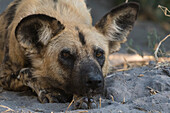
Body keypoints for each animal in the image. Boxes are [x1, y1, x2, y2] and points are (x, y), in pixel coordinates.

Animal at [0, 0, 138, 109]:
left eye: (99, 54)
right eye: (66, 55)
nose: (94, 81)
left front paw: (83, 98)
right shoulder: (5, 76)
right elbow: (27, 73)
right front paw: (50, 91)